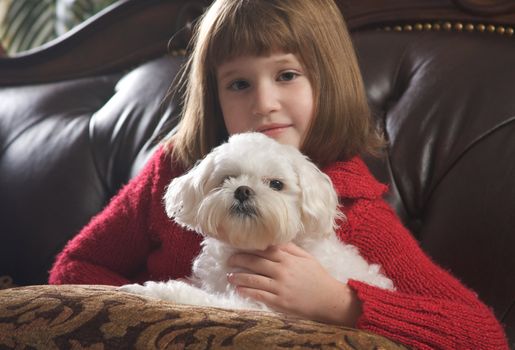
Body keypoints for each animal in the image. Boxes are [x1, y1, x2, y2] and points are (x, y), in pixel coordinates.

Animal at [122, 132, 396, 312]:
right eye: (227, 179)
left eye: (276, 184)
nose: (242, 190)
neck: (250, 245)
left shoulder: (254, 302)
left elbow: (195, 296)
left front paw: (147, 289)